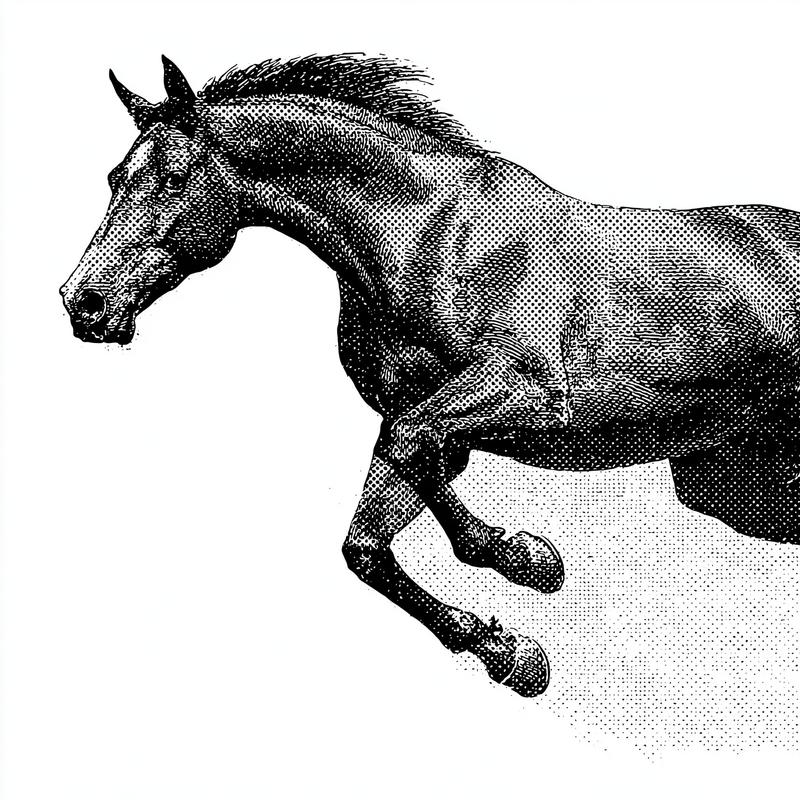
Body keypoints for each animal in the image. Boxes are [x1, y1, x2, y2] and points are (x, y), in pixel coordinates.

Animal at [61, 54, 800, 697]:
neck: (426, 237)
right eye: (114, 178)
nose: (83, 303)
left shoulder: (525, 397)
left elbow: (403, 472)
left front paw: (513, 621)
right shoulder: (415, 411)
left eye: (174, 179)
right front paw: (518, 591)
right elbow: (387, 520)